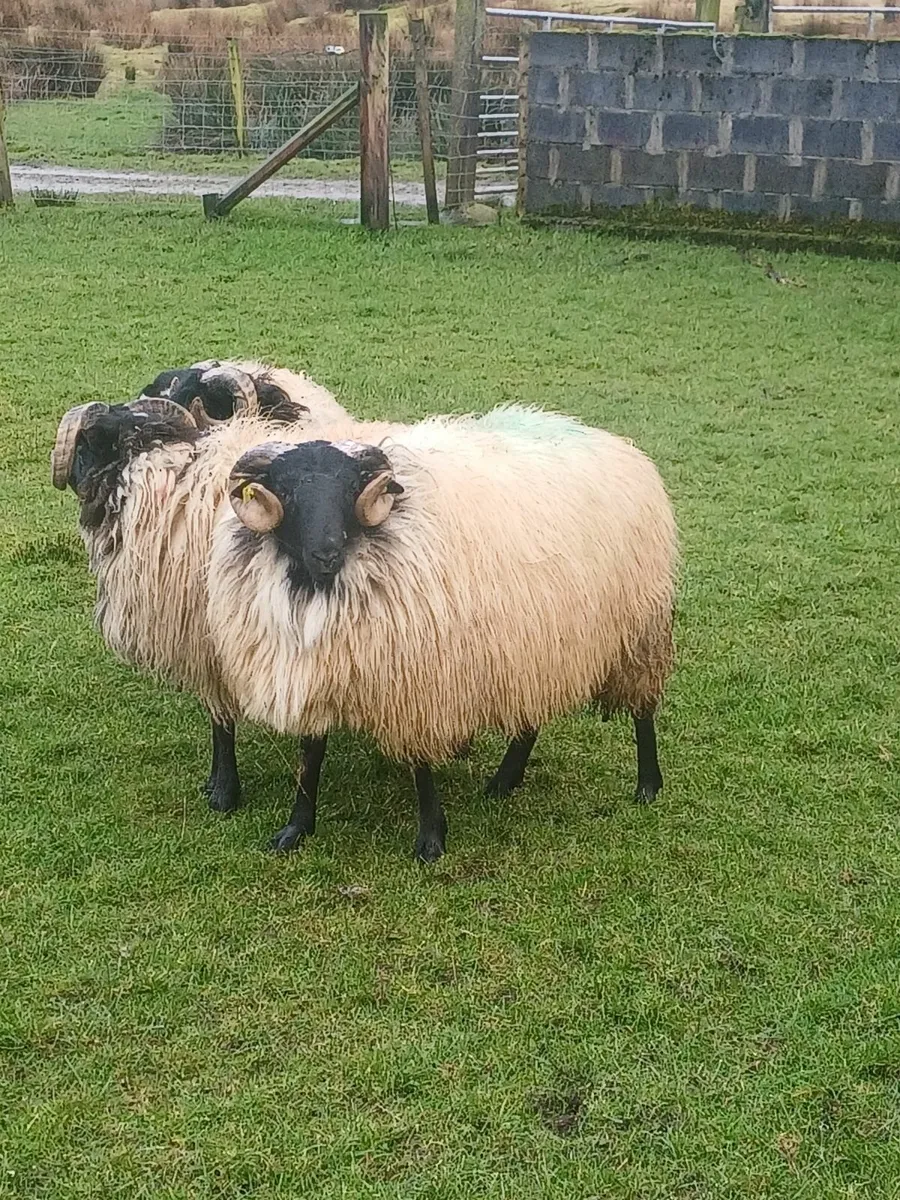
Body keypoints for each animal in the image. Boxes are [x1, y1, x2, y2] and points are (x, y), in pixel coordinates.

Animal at [50, 360, 352, 815]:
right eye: (86, 447)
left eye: (200, 401)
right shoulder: (203, 635)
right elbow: (218, 717)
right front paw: (219, 784)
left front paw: (228, 792)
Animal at [207, 405, 678, 862]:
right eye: (285, 492)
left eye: (351, 488)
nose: (327, 553)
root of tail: (615, 443)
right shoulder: (318, 668)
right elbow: (310, 757)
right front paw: (296, 829)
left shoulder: (420, 682)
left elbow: (420, 767)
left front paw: (431, 839)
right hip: (537, 642)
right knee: (529, 719)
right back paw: (504, 781)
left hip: (641, 628)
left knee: (643, 712)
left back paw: (648, 785)